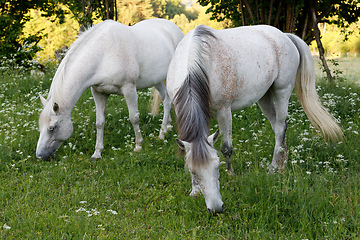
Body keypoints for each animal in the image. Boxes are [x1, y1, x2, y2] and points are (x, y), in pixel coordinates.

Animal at [36, 18, 183, 160]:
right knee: (166, 100)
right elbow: (100, 122)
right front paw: (97, 153)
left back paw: (163, 134)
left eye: (52, 128)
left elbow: (134, 118)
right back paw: (166, 130)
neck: (103, 54)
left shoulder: (129, 89)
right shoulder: (98, 93)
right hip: (156, 80)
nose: (40, 156)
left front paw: (138, 146)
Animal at [167, 24, 344, 214]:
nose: (216, 209)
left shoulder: (224, 111)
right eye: (193, 171)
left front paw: (231, 175)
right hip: (264, 97)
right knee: (277, 127)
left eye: (217, 165)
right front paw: (195, 191)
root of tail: (285, 36)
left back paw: (274, 168)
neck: (196, 64)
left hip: (282, 92)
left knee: (280, 128)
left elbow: (226, 148)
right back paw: (283, 162)